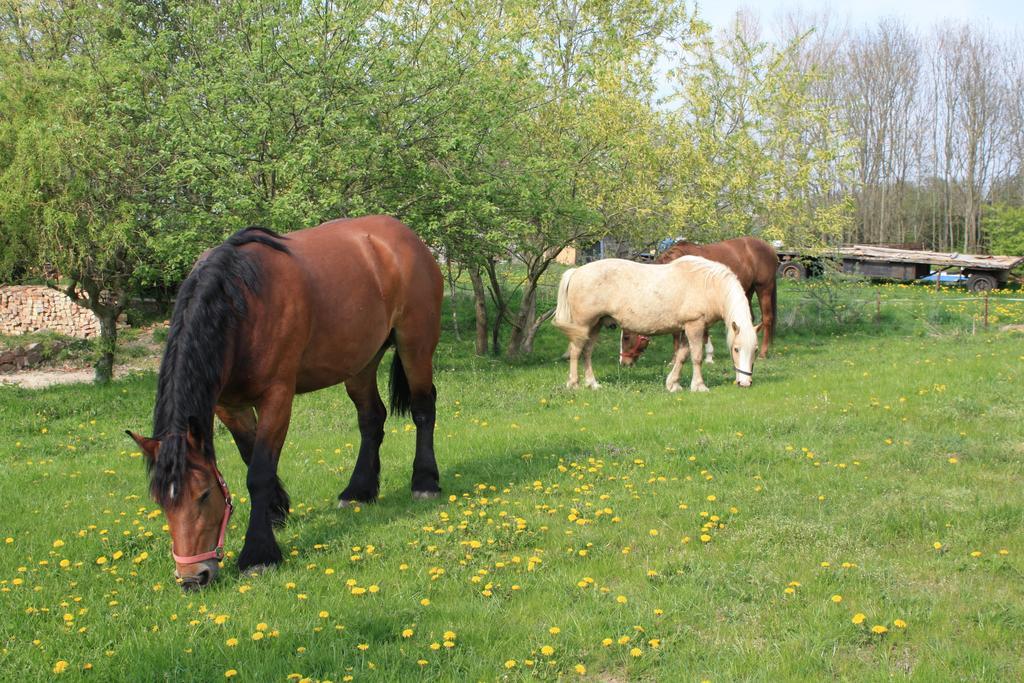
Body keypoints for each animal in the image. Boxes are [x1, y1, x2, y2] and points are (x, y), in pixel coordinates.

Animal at [125, 216, 442, 589]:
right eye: (161, 502)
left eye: (203, 494)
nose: (193, 577)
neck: (242, 303)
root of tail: (405, 236)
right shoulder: (228, 405)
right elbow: (250, 457)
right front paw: (276, 511)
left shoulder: (277, 396)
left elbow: (260, 471)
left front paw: (259, 552)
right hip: (360, 362)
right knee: (371, 419)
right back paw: (358, 491)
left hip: (415, 345)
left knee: (423, 410)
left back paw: (425, 483)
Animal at [552, 255, 761, 393]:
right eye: (736, 349)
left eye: (755, 350)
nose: (745, 383)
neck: (708, 285)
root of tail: (576, 272)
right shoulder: (695, 326)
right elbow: (696, 357)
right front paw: (699, 386)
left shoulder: (688, 328)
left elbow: (682, 356)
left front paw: (673, 384)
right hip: (582, 325)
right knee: (576, 352)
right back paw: (574, 384)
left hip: (595, 325)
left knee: (587, 352)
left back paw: (592, 384)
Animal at [618, 236, 778, 366]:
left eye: (626, 337)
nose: (623, 362)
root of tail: (770, 248)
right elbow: (676, 333)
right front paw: (675, 359)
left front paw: (708, 357)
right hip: (746, 291)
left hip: (764, 288)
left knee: (767, 319)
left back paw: (762, 353)